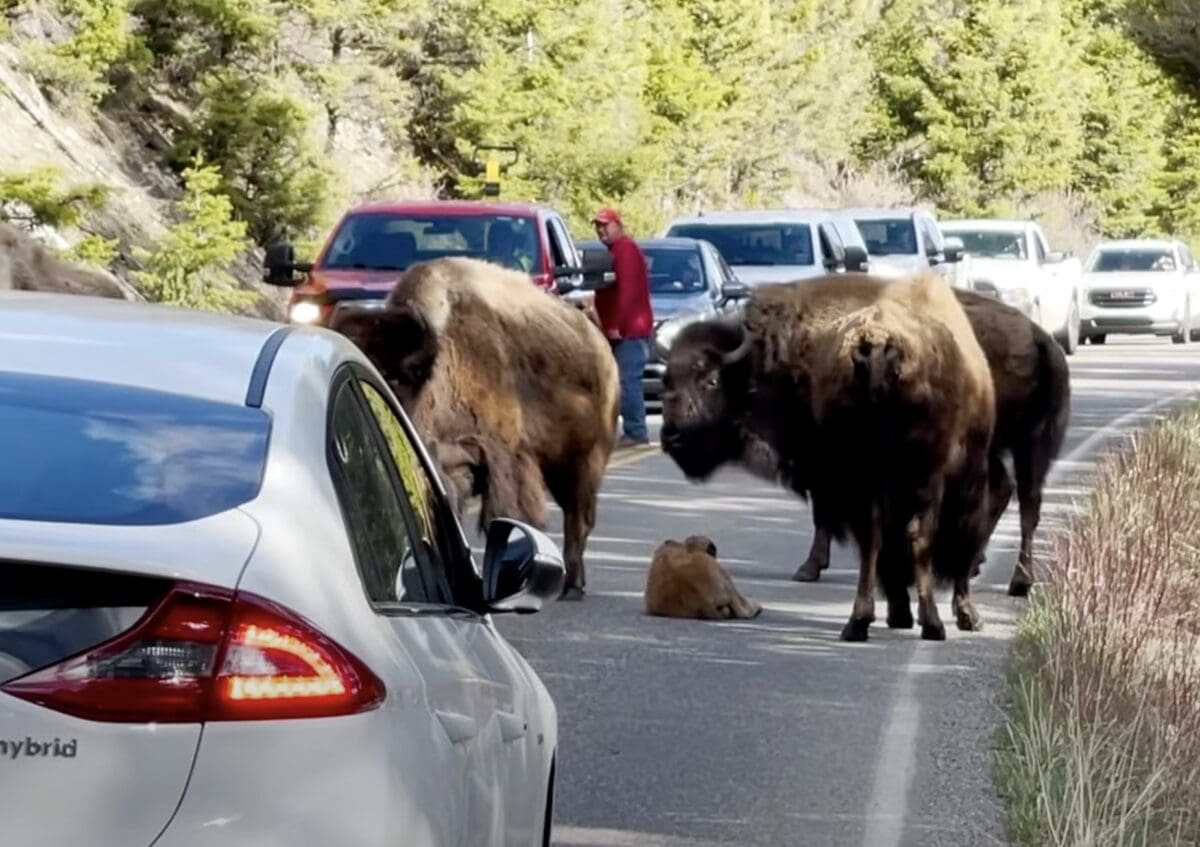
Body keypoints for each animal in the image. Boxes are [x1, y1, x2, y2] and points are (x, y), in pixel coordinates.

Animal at [330, 256, 620, 601]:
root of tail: (602, 350)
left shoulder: (501, 456)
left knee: (578, 520)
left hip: (582, 464)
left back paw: (572, 586)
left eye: (398, 378)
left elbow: (505, 512)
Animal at [660, 272, 996, 641]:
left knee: (884, 536)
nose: (670, 435)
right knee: (905, 536)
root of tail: (878, 346)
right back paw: (917, 621)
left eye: (710, 380)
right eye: (667, 381)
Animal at [791, 288, 1070, 597]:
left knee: (1021, 501)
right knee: (1014, 494)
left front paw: (810, 567)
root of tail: (1041, 339)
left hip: (1017, 445)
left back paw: (1014, 580)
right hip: (1016, 445)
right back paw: (990, 570)